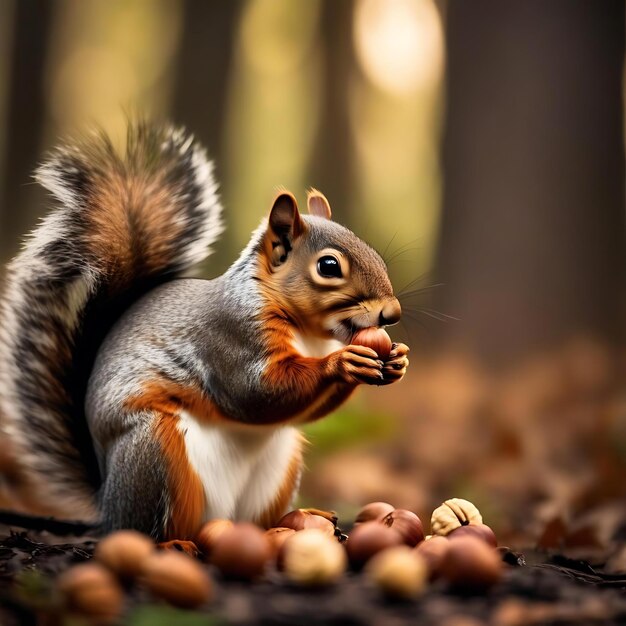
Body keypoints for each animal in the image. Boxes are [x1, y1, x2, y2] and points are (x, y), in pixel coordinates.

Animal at [0, 123, 410, 540]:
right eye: (328, 266)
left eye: (373, 252)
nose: (392, 313)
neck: (309, 334)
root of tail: (107, 503)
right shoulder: (231, 336)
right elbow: (257, 392)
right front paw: (343, 362)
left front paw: (396, 362)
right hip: (157, 454)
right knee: (156, 529)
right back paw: (178, 545)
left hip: (279, 467)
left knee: (257, 519)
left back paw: (294, 521)